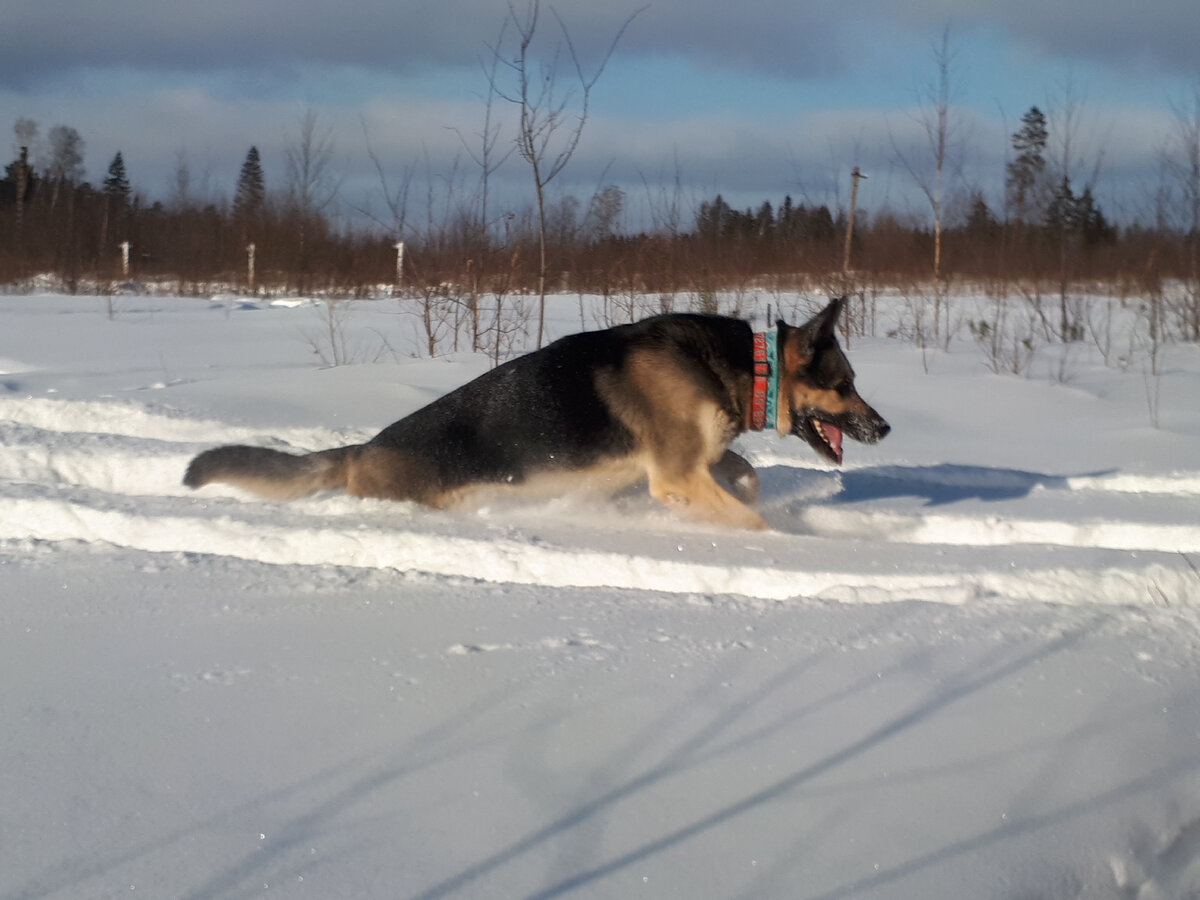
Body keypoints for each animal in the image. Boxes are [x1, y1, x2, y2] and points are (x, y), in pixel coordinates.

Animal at [182, 300, 888, 532]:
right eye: (846, 385)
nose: (884, 428)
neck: (748, 368)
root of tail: (362, 451)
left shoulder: (690, 463)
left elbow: (744, 474)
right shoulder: (676, 473)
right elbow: (748, 516)